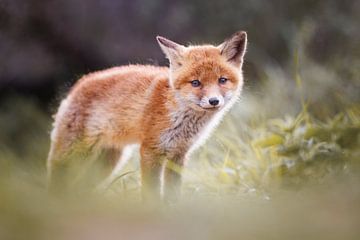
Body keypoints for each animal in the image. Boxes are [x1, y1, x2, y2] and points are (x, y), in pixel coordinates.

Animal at [47, 31, 248, 202]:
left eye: (222, 80)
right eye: (196, 83)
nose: (214, 101)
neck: (177, 113)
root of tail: (77, 86)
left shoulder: (178, 154)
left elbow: (173, 193)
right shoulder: (151, 150)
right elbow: (151, 192)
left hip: (107, 162)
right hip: (73, 154)